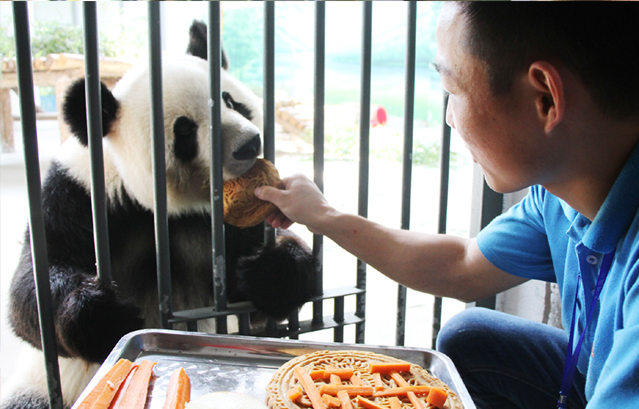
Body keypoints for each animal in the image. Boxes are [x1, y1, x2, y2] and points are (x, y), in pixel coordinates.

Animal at [1, 23, 316, 409]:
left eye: (229, 100)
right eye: (184, 130)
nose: (249, 144)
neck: (165, 208)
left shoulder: (219, 222)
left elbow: (257, 300)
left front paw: (271, 272)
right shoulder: (77, 196)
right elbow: (32, 290)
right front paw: (105, 316)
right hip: (36, 386)